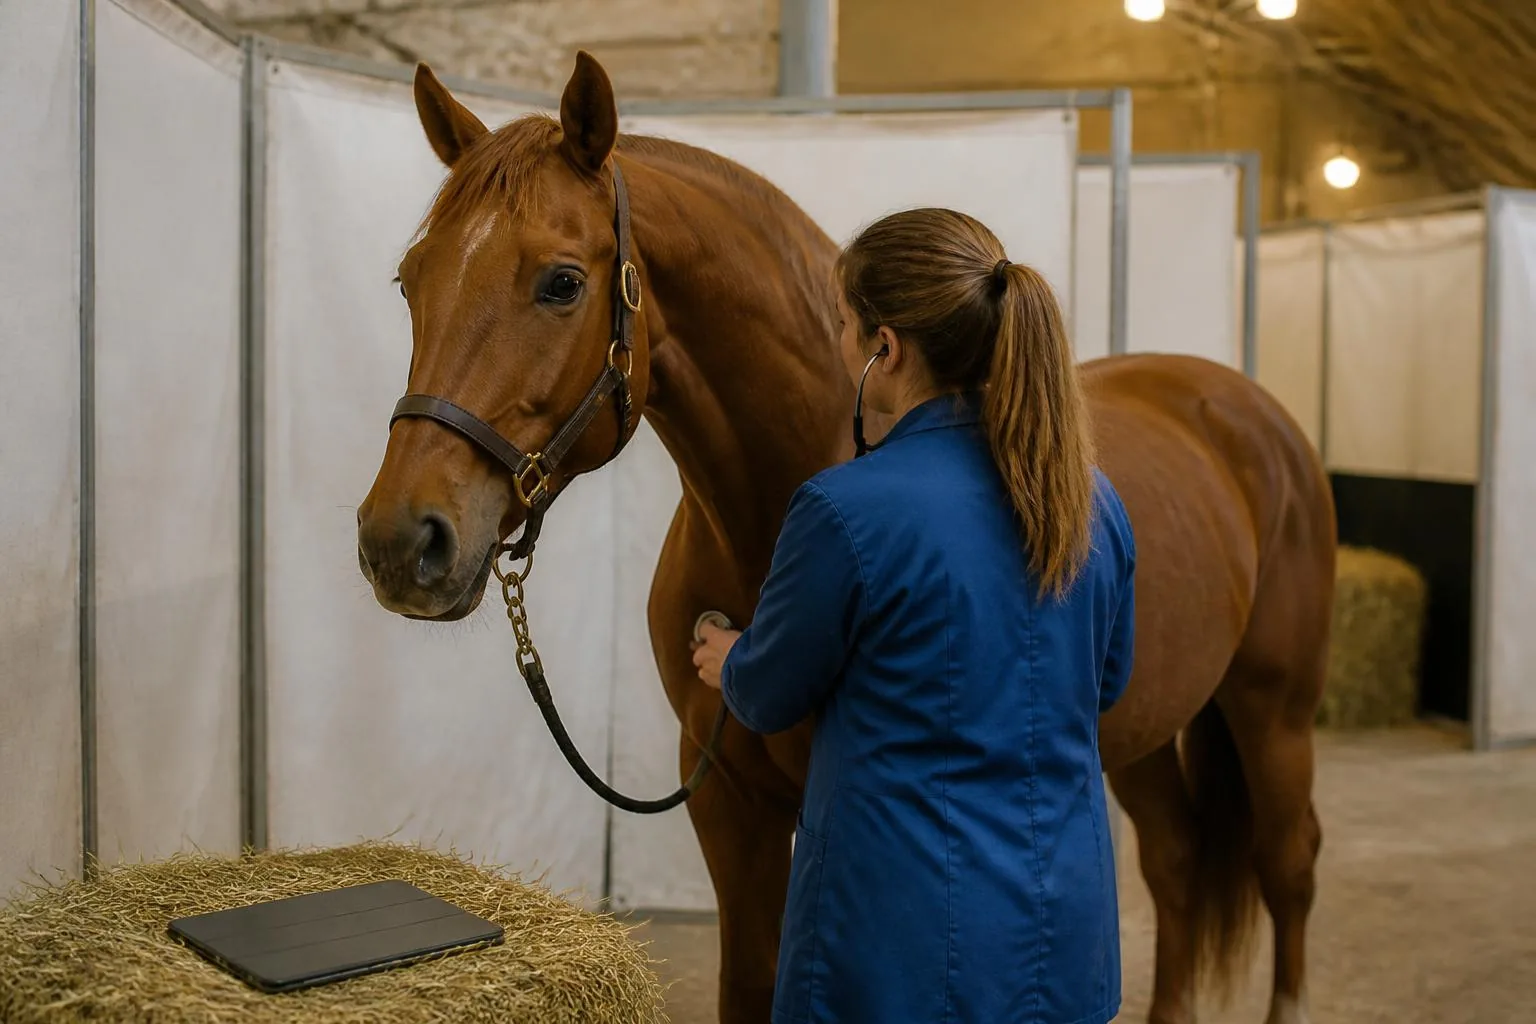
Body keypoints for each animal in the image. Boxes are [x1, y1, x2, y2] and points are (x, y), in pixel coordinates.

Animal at [355, 51, 1336, 1024]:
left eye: (561, 282)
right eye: (410, 280)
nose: (400, 541)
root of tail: (1240, 405)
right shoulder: (729, 801)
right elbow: (749, 981)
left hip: (1271, 711)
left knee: (1289, 863)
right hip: (1145, 728)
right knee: (1175, 864)